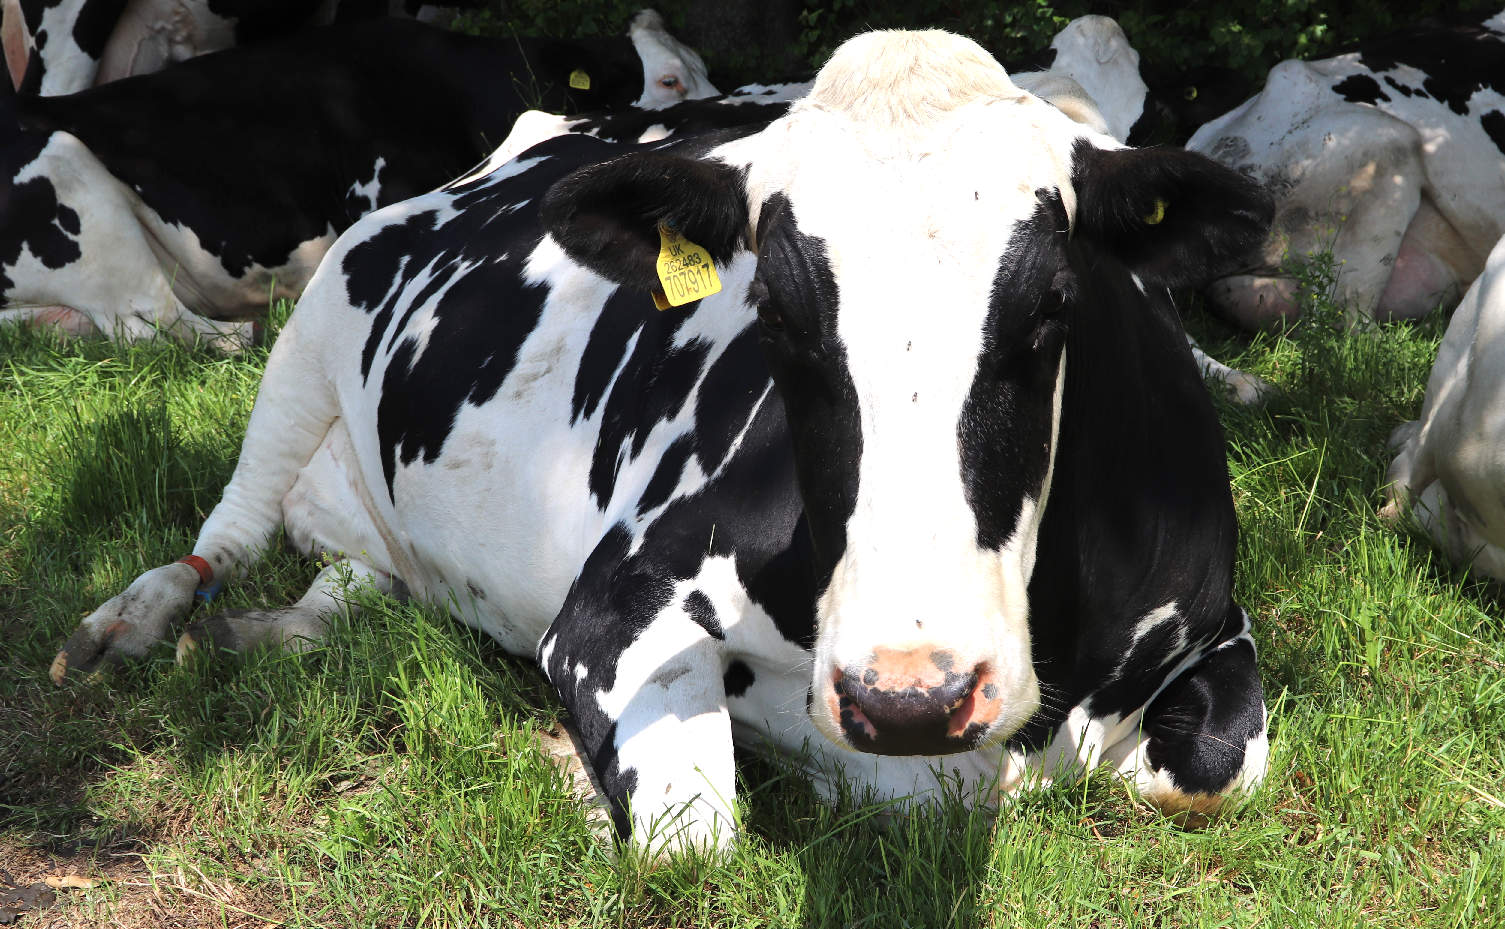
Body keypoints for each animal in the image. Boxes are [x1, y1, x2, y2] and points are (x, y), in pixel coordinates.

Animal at [47, 28, 1270, 855]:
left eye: (1058, 300)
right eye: (770, 306)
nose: (907, 695)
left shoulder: (1216, 625)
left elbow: (1213, 769)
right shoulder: (611, 602)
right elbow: (700, 835)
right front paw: (580, 775)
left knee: (351, 576)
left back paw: (271, 633)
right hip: (311, 317)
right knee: (229, 530)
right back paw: (134, 623)